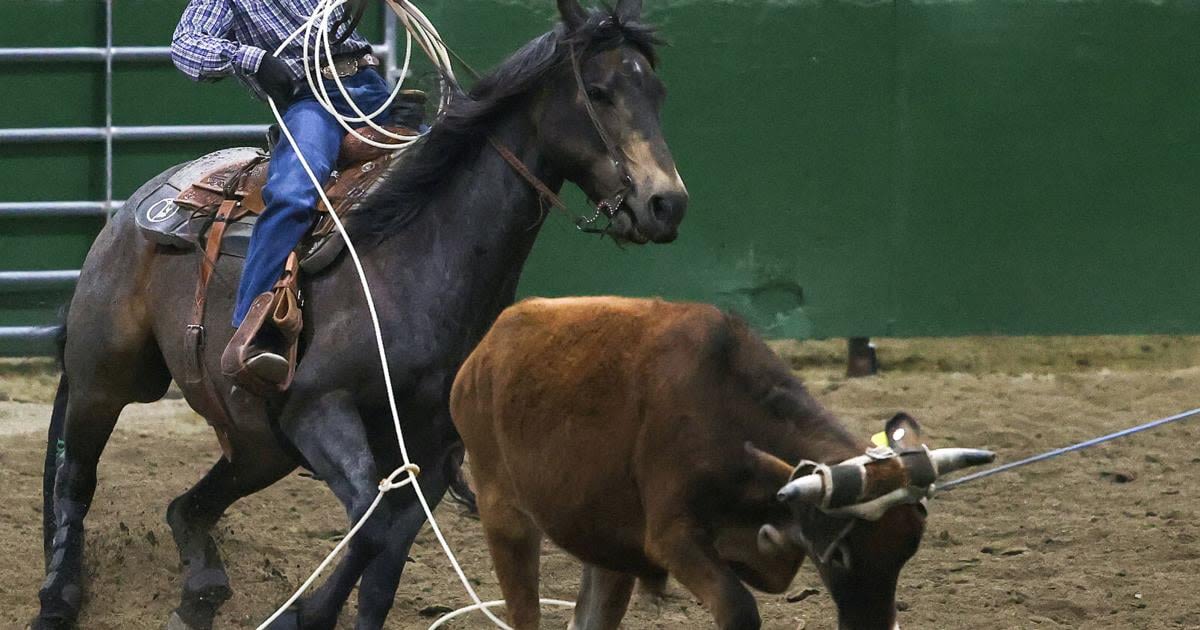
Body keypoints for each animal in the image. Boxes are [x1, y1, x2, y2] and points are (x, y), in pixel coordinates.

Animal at [32, 2, 686, 624]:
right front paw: (303, 616)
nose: (667, 204)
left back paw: (200, 592)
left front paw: (315, 612)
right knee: (76, 476)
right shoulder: (319, 410)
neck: (422, 253)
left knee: (187, 506)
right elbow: (369, 529)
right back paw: (59, 596)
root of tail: (139, 206)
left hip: (259, 444)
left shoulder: (430, 450)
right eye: (598, 92)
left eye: (657, 92)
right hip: (107, 378)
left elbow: (385, 563)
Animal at [451, 297, 993, 624]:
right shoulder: (671, 535)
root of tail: (482, 353)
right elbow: (738, 606)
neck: (720, 404)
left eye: (907, 553)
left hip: (605, 546)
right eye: (839, 556)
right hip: (505, 517)